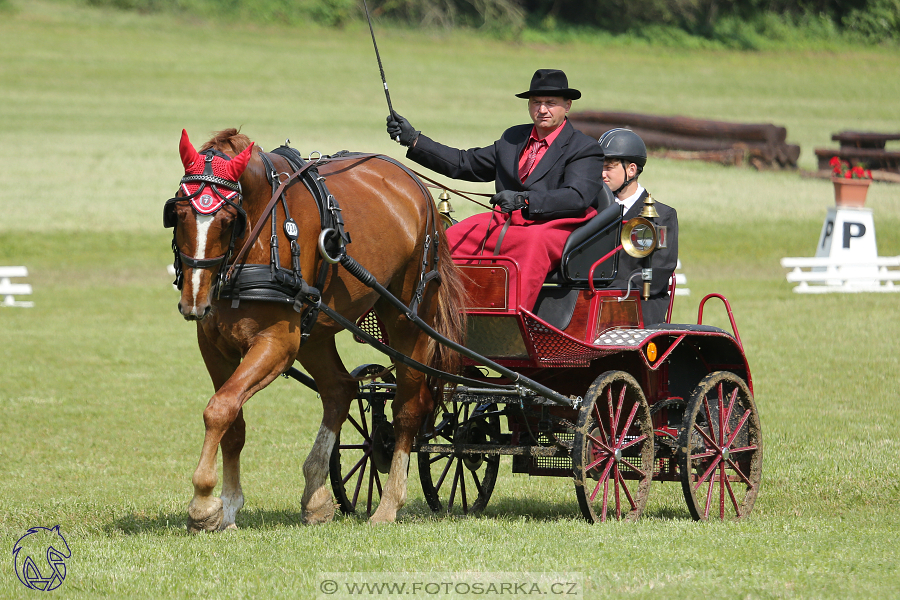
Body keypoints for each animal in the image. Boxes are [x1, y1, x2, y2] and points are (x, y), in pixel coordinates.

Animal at [164, 127, 468, 528]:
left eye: (229, 219)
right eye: (178, 213)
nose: (194, 302)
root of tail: (415, 185)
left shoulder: (277, 343)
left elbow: (220, 408)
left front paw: (203, 502)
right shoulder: (213, 345)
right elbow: (231, 421)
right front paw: (227, 508)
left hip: (407, 319)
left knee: (407, 408)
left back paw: (388, 505)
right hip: (316, 327)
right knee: (340, 389)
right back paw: (316, 495)